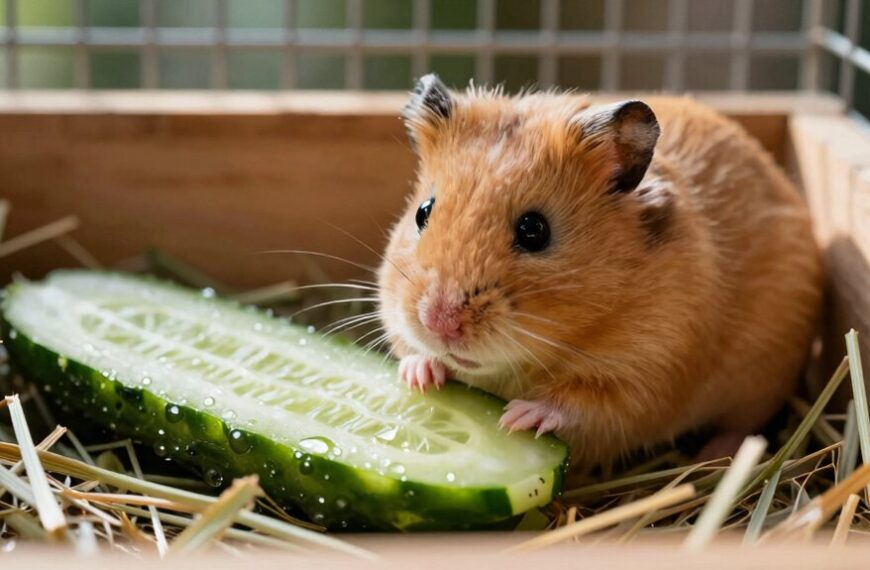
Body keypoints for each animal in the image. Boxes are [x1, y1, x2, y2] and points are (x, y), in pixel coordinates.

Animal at [377, 73, 822, 466]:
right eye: (422, 212)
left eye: (534, 230)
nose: (439, 323)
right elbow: (409, 348)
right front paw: (419, 375)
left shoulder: (651, 375)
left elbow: (583, 406)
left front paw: (518, 417)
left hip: (760, 382)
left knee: (744, 428)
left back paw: (712, 456)